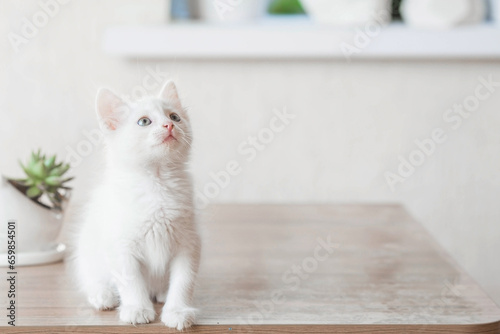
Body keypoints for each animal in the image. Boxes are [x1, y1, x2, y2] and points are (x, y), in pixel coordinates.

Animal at [75, 81, 200, 328]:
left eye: (175, 116)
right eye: (144, 121)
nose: (169, 125)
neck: (157, 182)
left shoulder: (188, 243)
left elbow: (184, 281)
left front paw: (178, 311)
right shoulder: (121, 245)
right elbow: (131, 280)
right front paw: (137, 309)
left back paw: (161, 292)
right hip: (88, 252)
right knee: (91, 278)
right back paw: (103, 295)